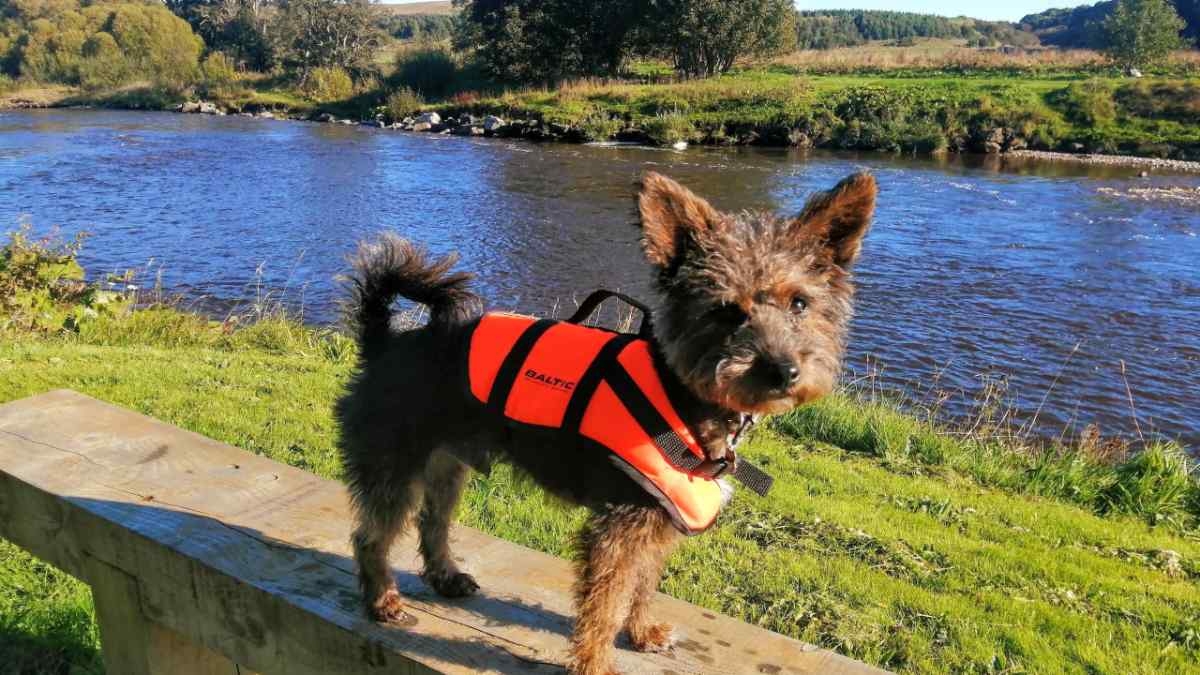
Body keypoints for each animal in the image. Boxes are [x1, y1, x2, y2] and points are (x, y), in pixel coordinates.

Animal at [333, 170, 878, 672]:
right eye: (726, 311)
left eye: (800, 302)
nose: (783, 370)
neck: (680, 392)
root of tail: (384, 341)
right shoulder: (618, 527)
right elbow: (603, 604)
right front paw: (595, 662)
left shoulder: (655, 520)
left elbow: (642, 585)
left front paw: (640, 631)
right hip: (392, 467)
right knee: (370, 537)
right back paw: (382, 602)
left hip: (446, 467)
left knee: (434, 523)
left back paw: (445, 577)